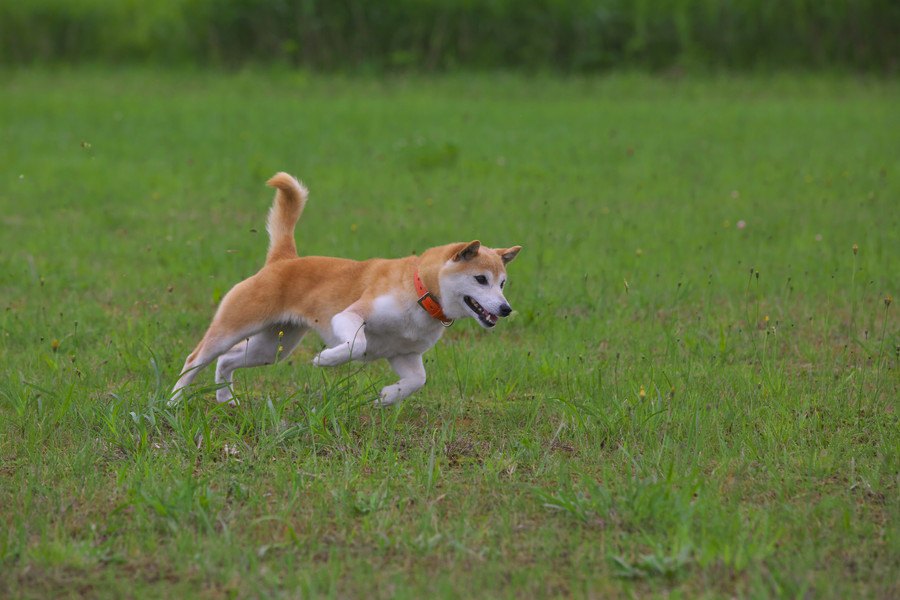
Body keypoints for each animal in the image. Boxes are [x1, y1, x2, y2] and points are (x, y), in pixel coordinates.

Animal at [171, 173, 520, 408]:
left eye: (502, 283)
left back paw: (225, 398)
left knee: (225, 361)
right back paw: (174, 402)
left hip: (273, 348)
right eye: (480, 279)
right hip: (235, 325)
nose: (506, 309)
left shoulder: (404, 354)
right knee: (196, 359)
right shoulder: (349, 315)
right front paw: (326, 359)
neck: (421, 291)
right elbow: (356, 344)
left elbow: (417, 381)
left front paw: (387, 397)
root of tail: (283, 259)